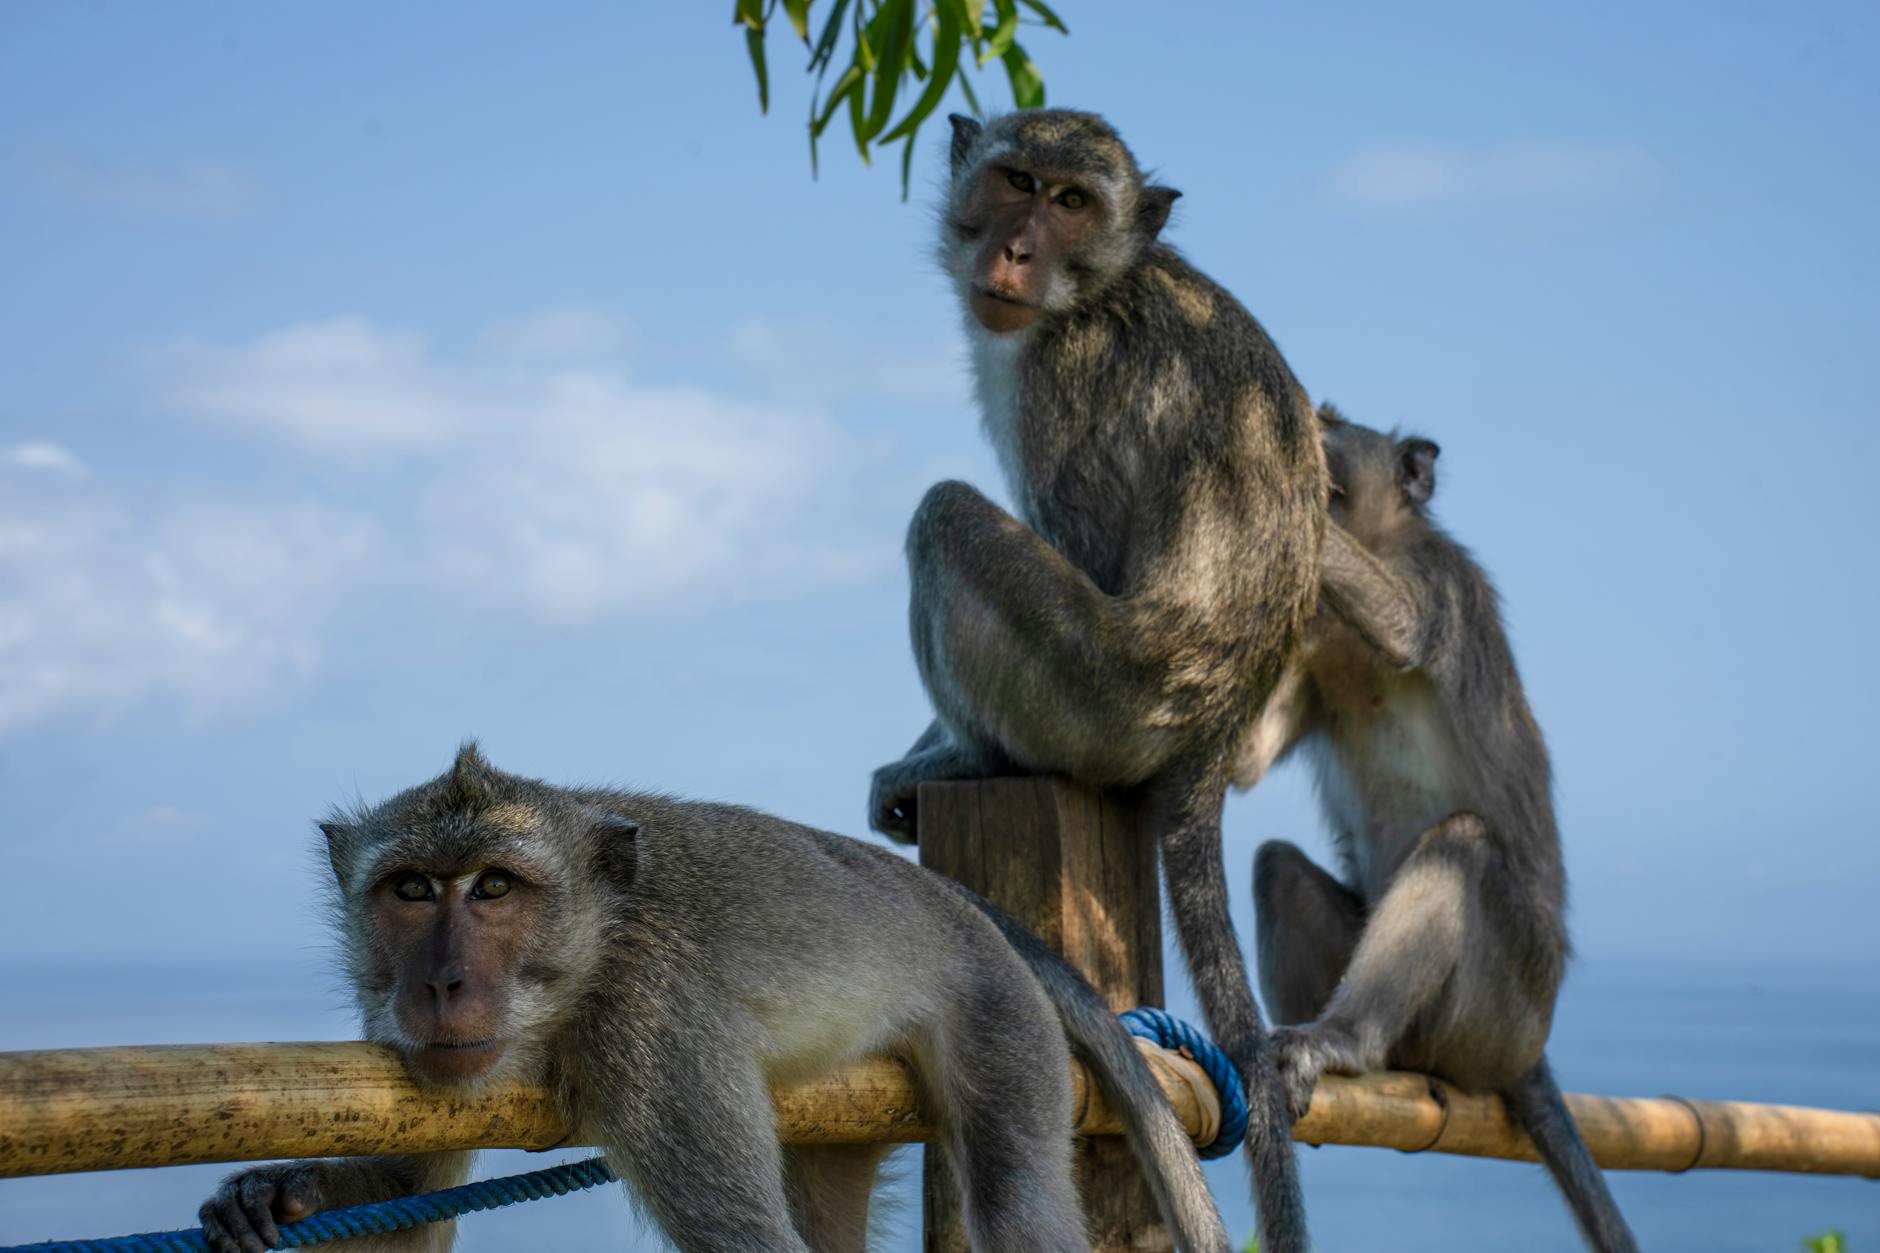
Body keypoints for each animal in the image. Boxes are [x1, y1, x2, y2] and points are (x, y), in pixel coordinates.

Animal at [196, 744, 1230, 1253]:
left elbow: (750, 1241)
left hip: (996, 1010)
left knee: (1019, 1205)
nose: (442, 981)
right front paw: (280, 1191)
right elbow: (410, 1197)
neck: (596, 952)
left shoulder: (651, 1029)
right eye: (411, 890)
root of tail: (945, 895)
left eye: (493, 887)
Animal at [866, 109, 1323, 1253]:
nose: (1018, 249)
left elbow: (1083, 545)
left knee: (946, 514)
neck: (1102, 287)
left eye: (1074, 203)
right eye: (1017, 181)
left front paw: (923, 755)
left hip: (1096, 695)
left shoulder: (1064, 376)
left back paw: (970, 757)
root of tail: (1210, 734)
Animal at [1236, 407, 1638, 1253]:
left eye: (1331, 421)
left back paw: (1343, 1039)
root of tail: (1530, 1053)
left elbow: (1403, 628)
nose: (1309, 424)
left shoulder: (1441, 580)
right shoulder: (1313, 640)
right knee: (1277, 866)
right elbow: (1246, 757)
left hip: (1503, 1010)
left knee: (1463, 845)